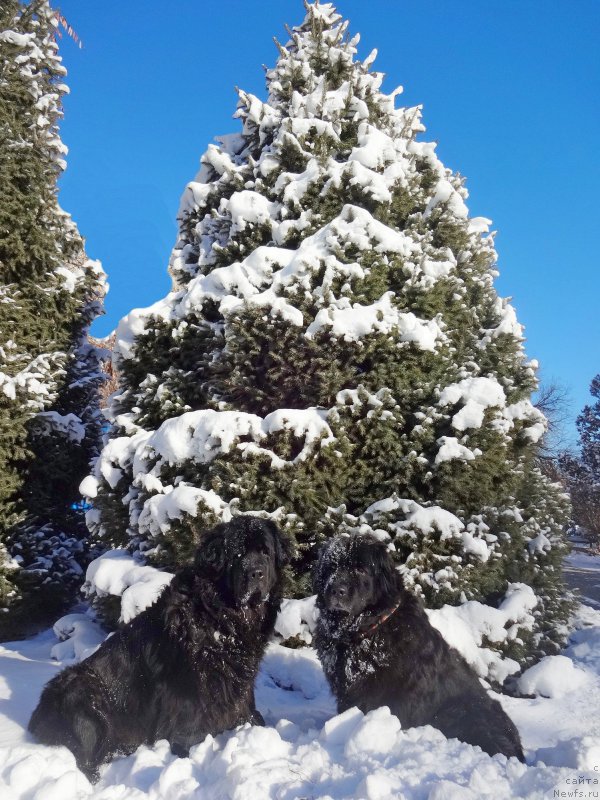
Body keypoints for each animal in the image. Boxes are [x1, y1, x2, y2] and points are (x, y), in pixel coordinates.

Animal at [28, 516, 290, 780]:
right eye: (237, 554)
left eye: (265, 552)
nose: (256, 573)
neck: (224, 621)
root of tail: (38, 716)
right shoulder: (186, 693)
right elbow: (186, 732)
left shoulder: (240, 683)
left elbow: (251, 712)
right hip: (84, 695)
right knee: (88, 762)